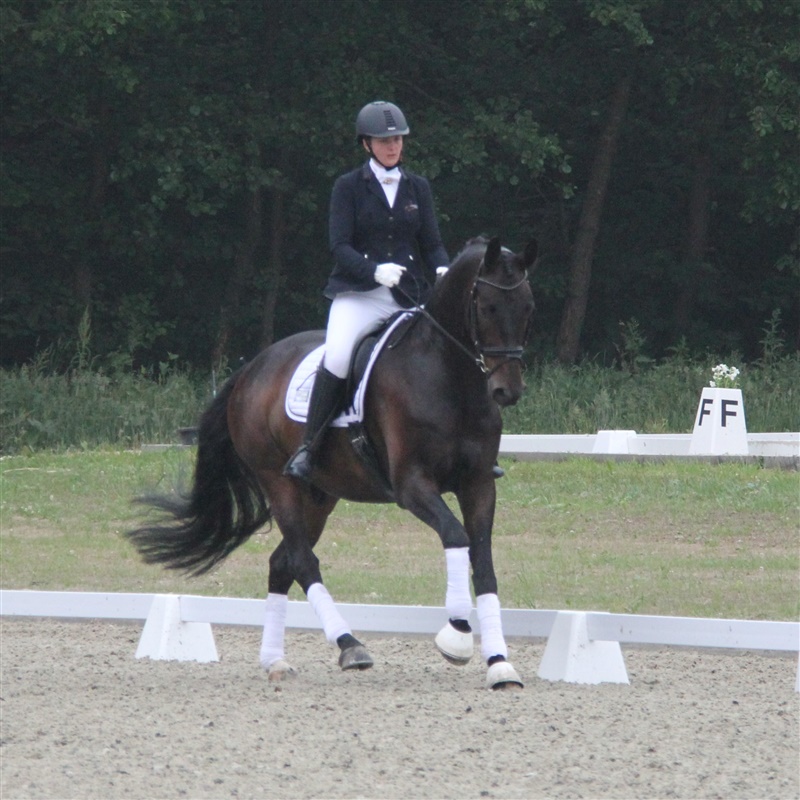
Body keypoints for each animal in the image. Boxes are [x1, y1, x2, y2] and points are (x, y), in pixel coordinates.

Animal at [126, 235, 537, 690]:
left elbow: (483, 562)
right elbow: (455, 536)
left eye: (528, 308)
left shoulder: (479, 482)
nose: (506, 391)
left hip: (320, 495)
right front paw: (458, 637)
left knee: (282, 562)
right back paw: (349, 645)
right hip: (279, 482)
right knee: (303, 561)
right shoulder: (412, 485)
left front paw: (499, 663)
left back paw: (275, 660)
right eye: (487, 307)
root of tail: (251, 370)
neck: (451, 378)